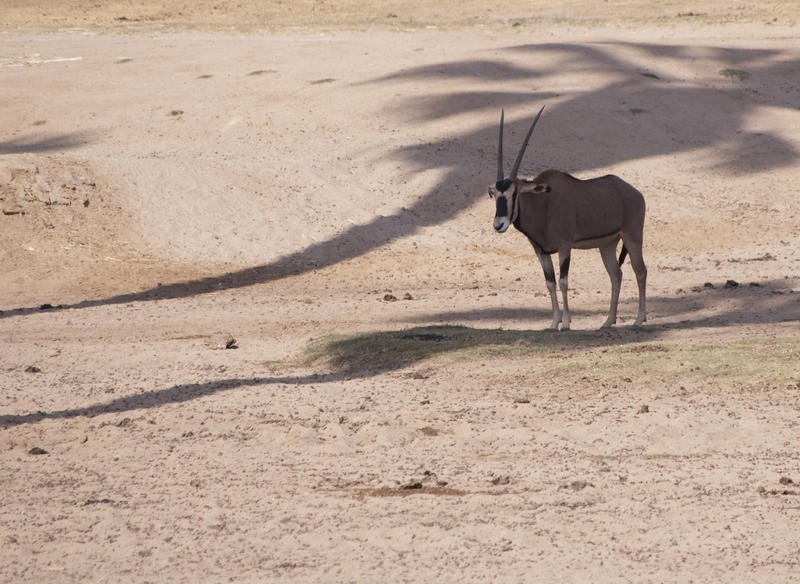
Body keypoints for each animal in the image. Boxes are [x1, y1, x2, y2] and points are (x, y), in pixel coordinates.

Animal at [488, 106, 648, 330]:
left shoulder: (565, 246)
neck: (543, 205)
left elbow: (563, 282)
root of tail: (634, 193)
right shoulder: (541, 251)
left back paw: (639, 318)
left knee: (640, 271)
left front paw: (565, 323)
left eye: (514, 193)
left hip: (632, 237)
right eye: (494, 194)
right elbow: (550, 283)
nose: (499, 224)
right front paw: (554, 322)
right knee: (616, 275)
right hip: (607, 244)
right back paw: (608, 321)